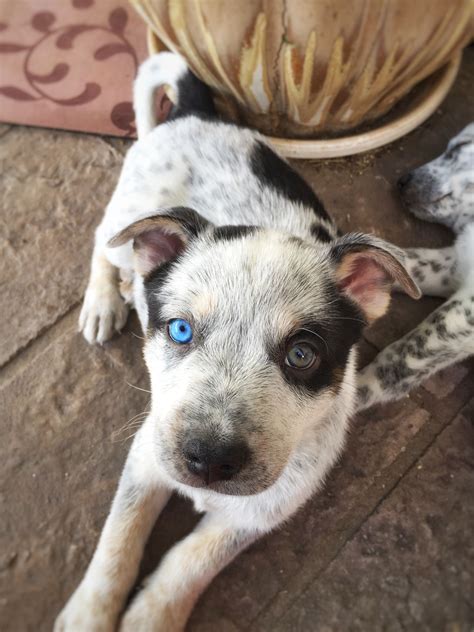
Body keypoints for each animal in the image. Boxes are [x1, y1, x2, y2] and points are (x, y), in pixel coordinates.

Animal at [54, 51, 418, 628]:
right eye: (180, 330)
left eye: (302, 355)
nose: (208, 461)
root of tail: (197, 110)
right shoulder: (147, 452)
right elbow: (118, 538)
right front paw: (90, 614)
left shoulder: (264, 509)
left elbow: (190, 561)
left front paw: (150, 617)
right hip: (126, 215)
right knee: (101, 243)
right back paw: (103, 302)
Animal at [360, 123, 474, 410]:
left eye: (460, 146)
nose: (402, 181)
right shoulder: (455, 264)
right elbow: (404, 261)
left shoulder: (466, 309)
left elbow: (406, 353)